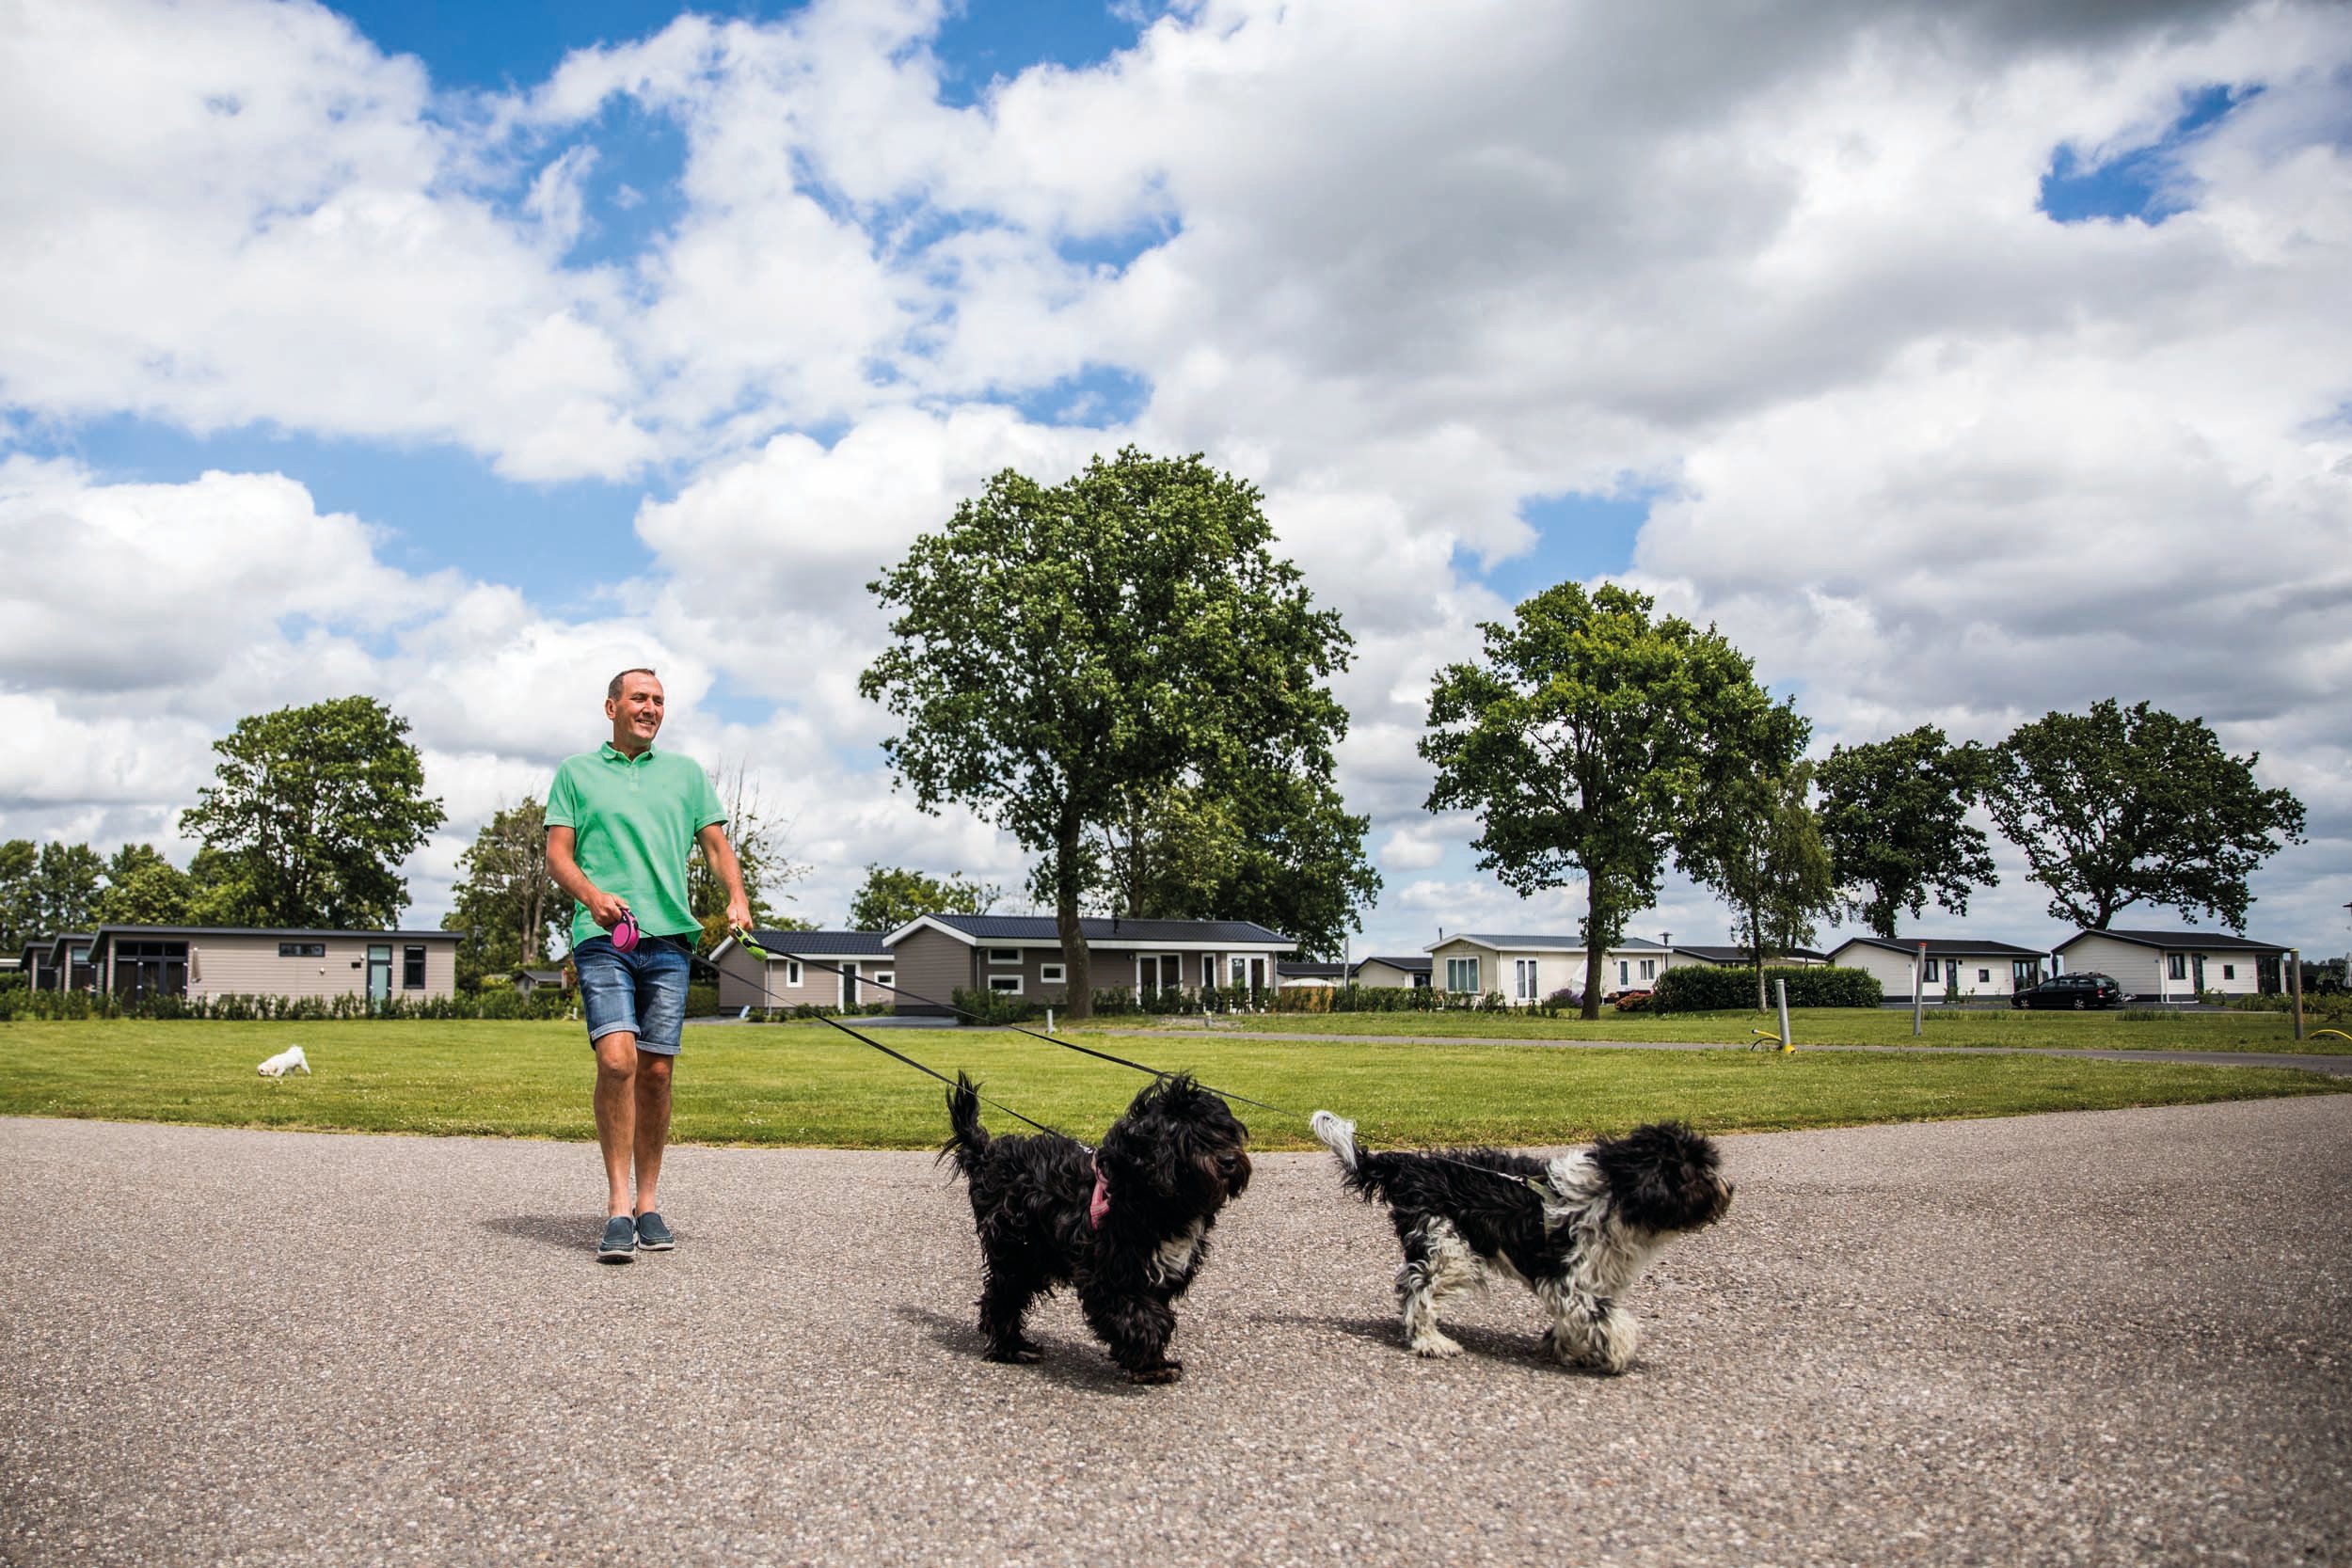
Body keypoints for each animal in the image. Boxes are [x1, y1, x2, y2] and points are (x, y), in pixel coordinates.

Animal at [946, 1067, 1261, 1382]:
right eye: (1189, 1137)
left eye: (1225, 1131)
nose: (1228, 1160)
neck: (1150, 1197)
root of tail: (986, 1155)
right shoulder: (1108, 1273)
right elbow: (1143, 1318)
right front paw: (1148, 1361)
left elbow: (1152, 1312)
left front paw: (1153, 1363)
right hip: (1017, 1251)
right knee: (1001, 1297)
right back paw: (1010, 1349)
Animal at [1308, 1114, 1731, 1372]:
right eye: (1696, 1171)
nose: (1729, 1189)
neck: (1612, 1194)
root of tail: (1410, 1166)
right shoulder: (1567, 1276)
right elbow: (1606, 1319)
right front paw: (1616, 1350)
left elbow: (1579, 1319)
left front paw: (1568, 1348)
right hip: (1449, 1249)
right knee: (1418, 1292)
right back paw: (1432, 1341)